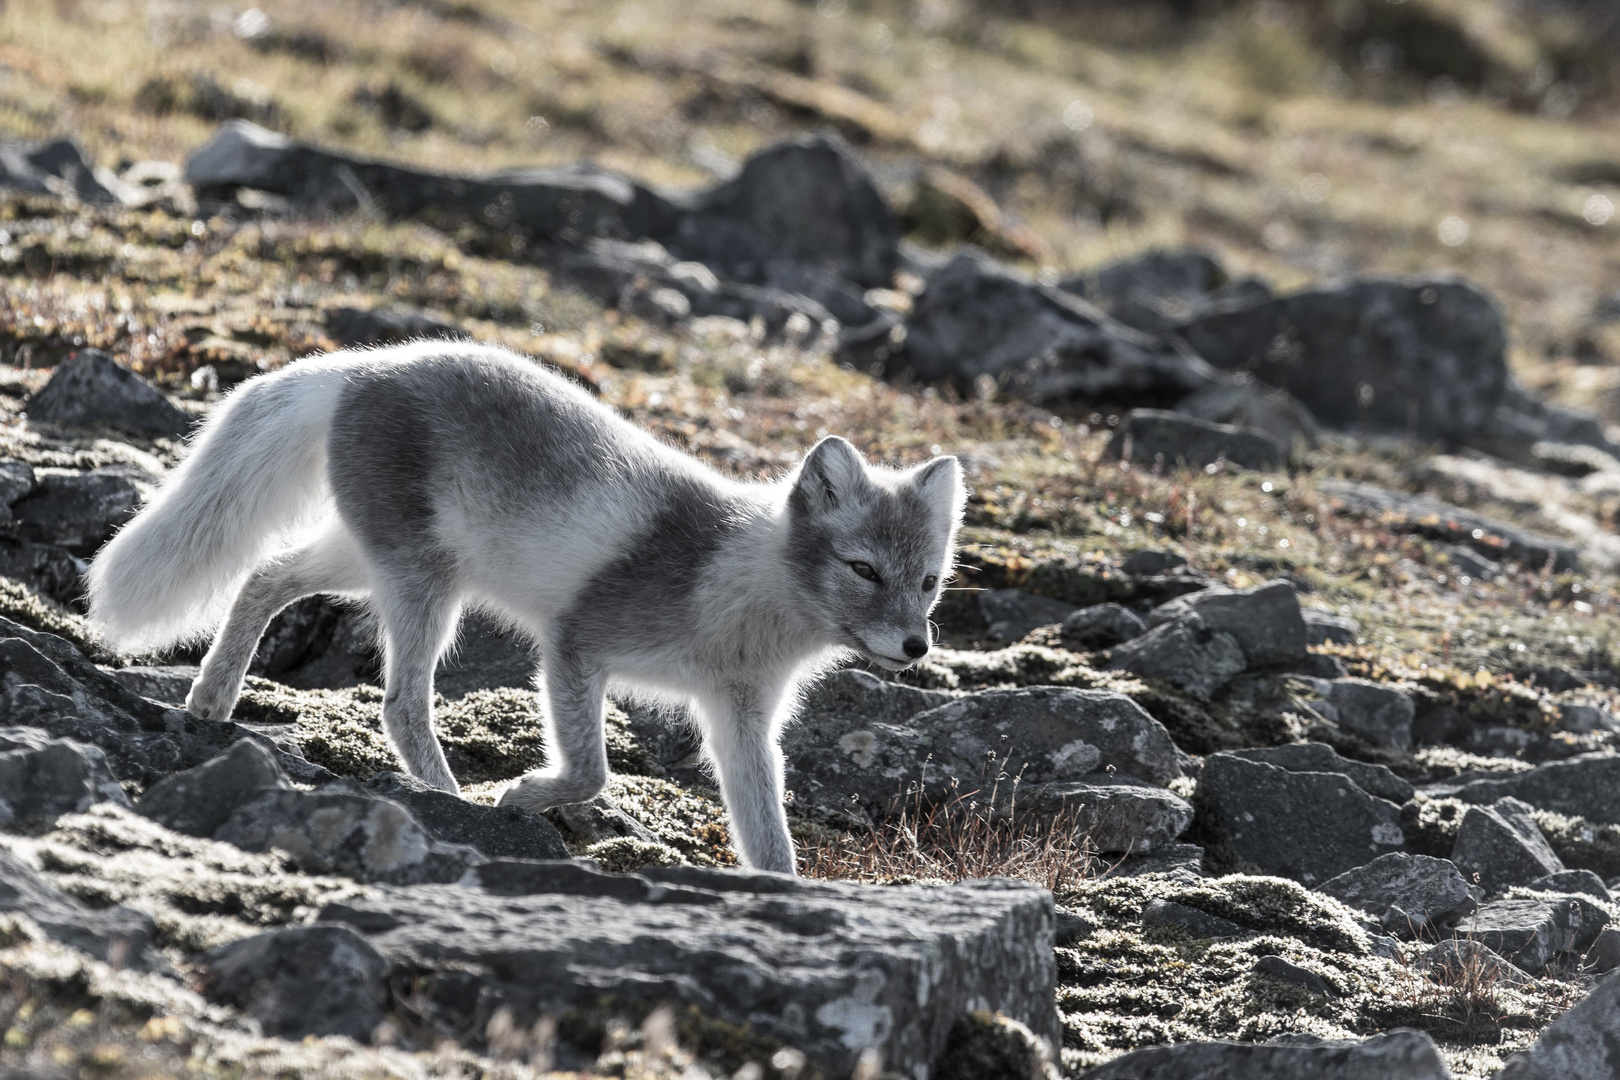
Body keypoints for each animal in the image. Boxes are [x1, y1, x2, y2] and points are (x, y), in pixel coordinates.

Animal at [88, 341, 959, 874]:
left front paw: (783, 891)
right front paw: (522, 797)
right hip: (422, 585)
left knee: (262, 578)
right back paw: (448, 798)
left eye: (928, 582)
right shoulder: (576, 644)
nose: (916, 649)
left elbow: (769, 834)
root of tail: (361, 367)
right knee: (400, 703)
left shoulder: (739, 714)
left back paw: (211, 699)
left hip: (366, 562)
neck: (748, 587)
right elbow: (593, 772)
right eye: (863, 569)